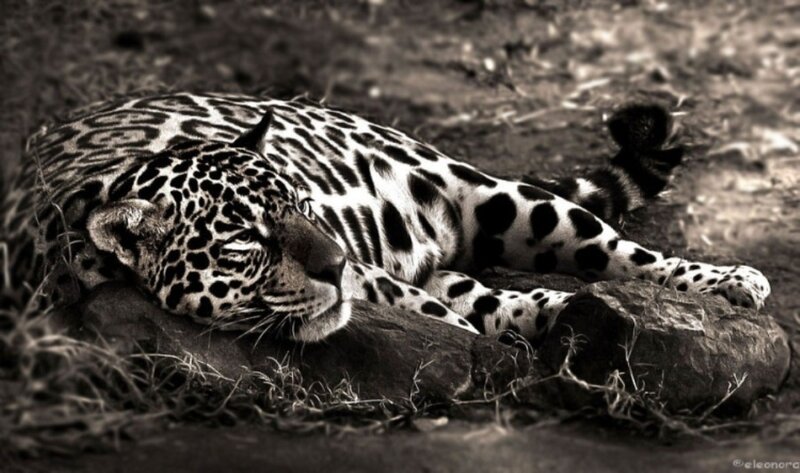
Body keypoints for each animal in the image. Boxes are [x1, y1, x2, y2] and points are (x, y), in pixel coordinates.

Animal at [0, 92, 771, 343]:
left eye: (304, 207)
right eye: (246, 239)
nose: (339, 262)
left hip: (509, 204)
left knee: (624, 255)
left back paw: (733, 282)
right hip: (448, 265)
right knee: (503, 301)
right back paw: (563, 318)